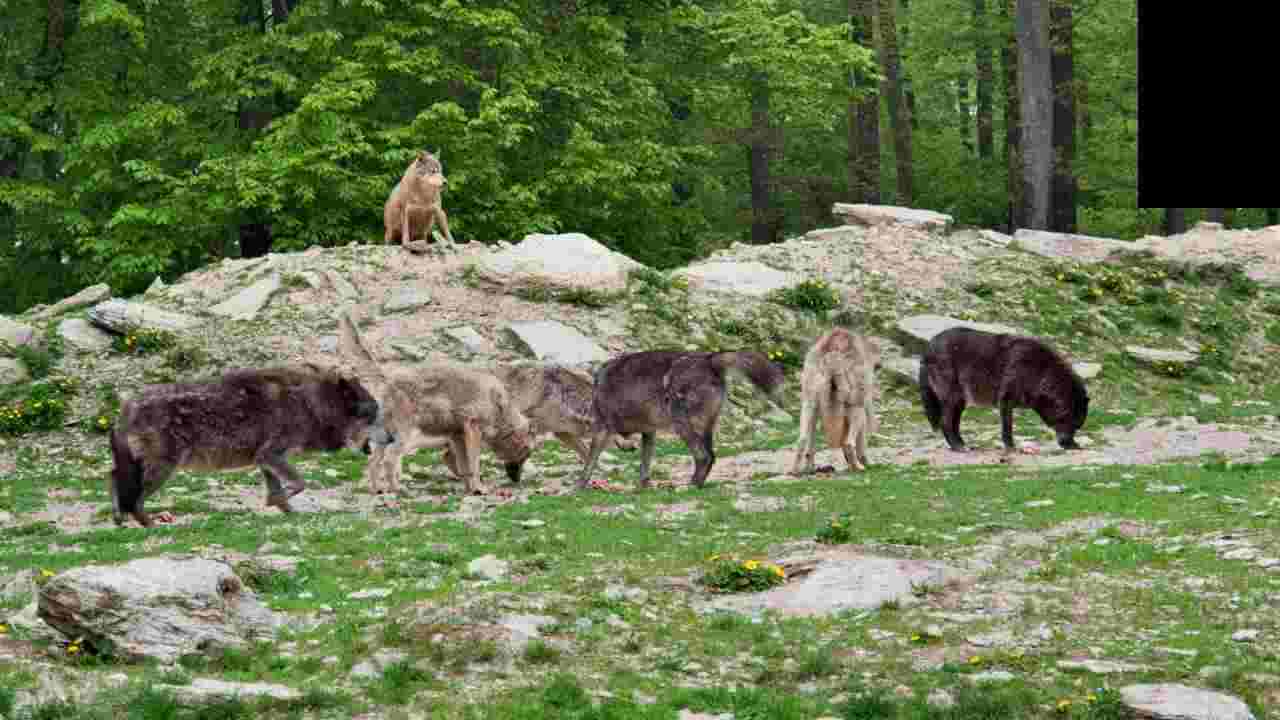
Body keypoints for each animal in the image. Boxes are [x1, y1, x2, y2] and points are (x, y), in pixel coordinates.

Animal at [107, 363, 386, 527]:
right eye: (373, 415)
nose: (392, 438)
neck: (311, 404)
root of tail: (125, 409)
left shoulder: (265, 459)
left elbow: (279, 490)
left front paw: (287, 511)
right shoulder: (272, 455)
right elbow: (299, 483)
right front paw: (279, 504)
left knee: (112, 477)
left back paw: (119, 518)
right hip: (163, 469)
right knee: (135, 500)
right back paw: (149, 524)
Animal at [337, 311, 532, 497]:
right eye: (526, 456)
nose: (517, 481)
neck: (500, 407)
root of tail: (388, 378)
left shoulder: (458, 437)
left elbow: (464, 467)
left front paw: (470, 489)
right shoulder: (473, 431)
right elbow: (473, 465)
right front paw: (479, 488)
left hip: (386, 437)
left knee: (373, 462)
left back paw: (377, 489)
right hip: (405, 436)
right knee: (390, 460)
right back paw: (396, 489)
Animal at [576, 348, 783, 486]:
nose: (630, 447)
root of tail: (709, 360)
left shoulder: (602, 428)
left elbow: (589, 460)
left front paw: (579, 486)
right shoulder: (649, 432)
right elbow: (645, 464)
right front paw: (643, 486)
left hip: (681, 424)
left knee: (703, 456)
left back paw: (691, 485)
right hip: (704, 427)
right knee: (711, 455)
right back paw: (698, 483)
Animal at [788, 326, 880, 474]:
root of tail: (833, 355)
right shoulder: (862, 400)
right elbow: (861, 441)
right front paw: (866, 462)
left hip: (810, 403)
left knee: (803, 439)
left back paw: (799, 470)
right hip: (855, 405)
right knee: (849, 443)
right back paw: (859, 467)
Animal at [921, 324, 1090, 448]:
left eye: (1077, 427)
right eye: (1072, 424)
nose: (1072, 446)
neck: (1041, 373)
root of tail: (929, 346)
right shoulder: (1006, 401)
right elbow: (1007, 427)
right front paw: (1010, 447)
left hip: (960, 401)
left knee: (954, 423)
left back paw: (962, 444)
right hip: (954, 398)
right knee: (945, 422)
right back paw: (958, 447)